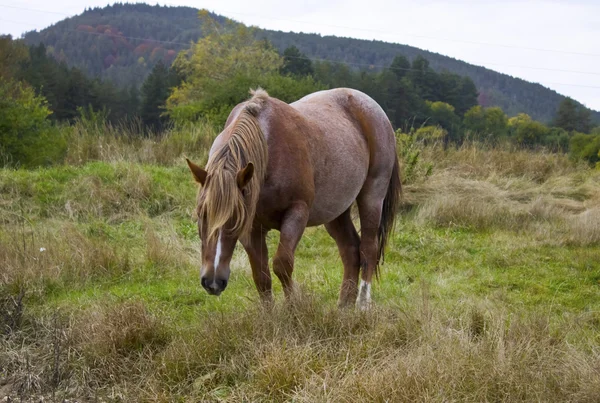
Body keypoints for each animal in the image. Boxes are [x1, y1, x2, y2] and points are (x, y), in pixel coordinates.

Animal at [186, 88, 404, 310]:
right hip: (335, 212)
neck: (268, 149)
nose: (213, 281)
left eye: (235, 219)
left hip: (372, 196)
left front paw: (294, 308)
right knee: (351, 250)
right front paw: (269, 314)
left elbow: (282, 264)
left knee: (368, 249)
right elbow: (261, 275)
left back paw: (362, 305)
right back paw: (344, 307)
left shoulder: (296, 213)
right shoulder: (253, 228)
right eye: (201, 214)